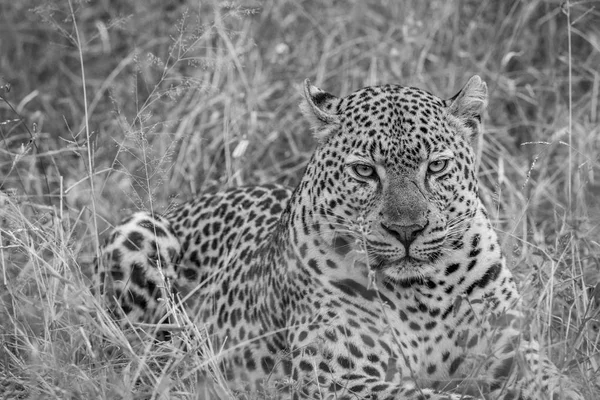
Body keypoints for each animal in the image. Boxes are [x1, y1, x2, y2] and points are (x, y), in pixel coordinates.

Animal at [96, 76, 584, 400]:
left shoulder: (514, 352)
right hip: (140, 233)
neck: (425, 290)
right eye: (365, 171)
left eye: (438, 166)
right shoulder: (337, 376)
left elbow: (559, 384)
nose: (407, 230)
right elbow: (434, 395)